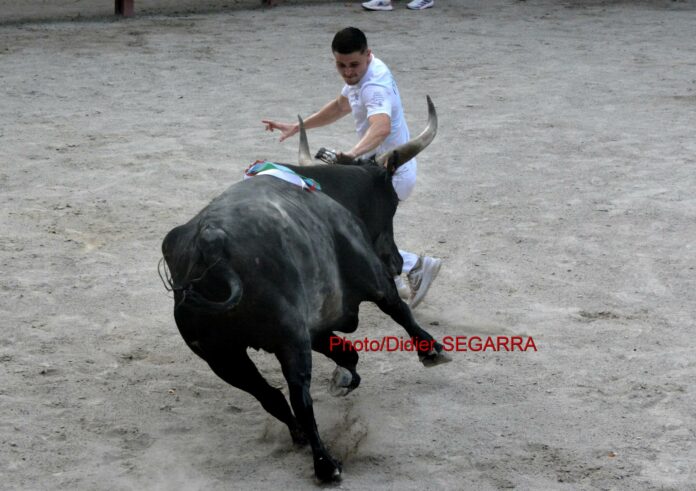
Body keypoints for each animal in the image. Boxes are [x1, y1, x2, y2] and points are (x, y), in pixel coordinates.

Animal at [160, 97, 448, 484]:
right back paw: (326, 464)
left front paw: (343, 379)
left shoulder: (315, 327)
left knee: (269, 395)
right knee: (299, 395)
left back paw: (298, 436)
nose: (396, 260)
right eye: (391, 202)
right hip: (286, 340)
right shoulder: (370, 280)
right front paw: (431, 350)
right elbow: (397, 310)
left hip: (221, 355)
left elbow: (347, 353)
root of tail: (211, 240)